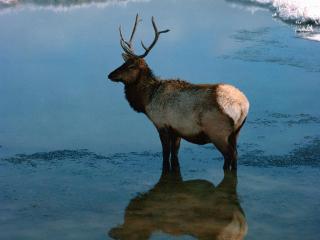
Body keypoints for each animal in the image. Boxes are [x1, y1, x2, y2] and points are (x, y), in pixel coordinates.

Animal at [108, 14, 250, 171]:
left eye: (131, 66)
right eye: (123, 63)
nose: (110, 75)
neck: (147, 100)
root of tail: (243, 105)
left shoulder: (161, 124)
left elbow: (165, 155)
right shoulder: (177, 130)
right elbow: (175, 155)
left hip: (217, 132)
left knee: (229, 155)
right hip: (236, 132)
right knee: (236, 155)